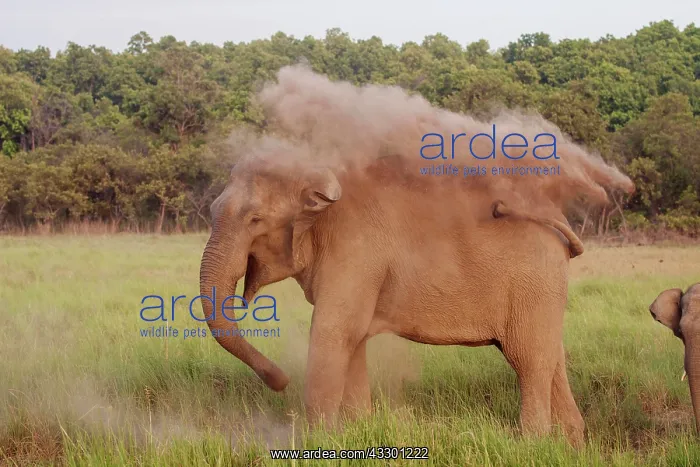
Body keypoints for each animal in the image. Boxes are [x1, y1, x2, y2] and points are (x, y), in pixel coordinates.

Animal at [199, 154, 586, 447]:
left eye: (255, 219)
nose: (280, 381)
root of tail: (560, 222)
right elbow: (353, 341)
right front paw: (357, 429)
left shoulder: (354, 251)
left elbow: (332, 334)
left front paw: (320, 441)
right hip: (544, 291)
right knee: (551, 357)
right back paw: (570, 444)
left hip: (533, 284)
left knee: (528, 359)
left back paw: (532, 443)